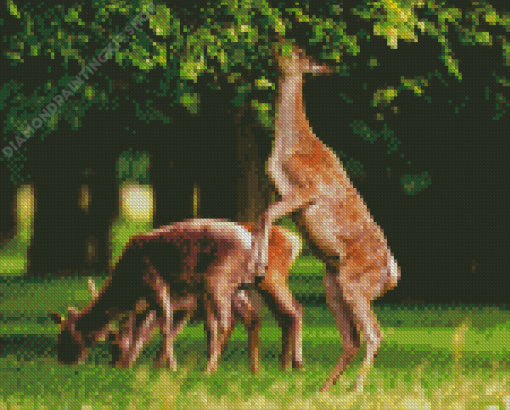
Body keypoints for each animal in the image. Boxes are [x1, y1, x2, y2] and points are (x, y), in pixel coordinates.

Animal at [50, 219, 302, 374]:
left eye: (65, 337)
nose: (63, 361)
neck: (129, 285)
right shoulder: (146, 304)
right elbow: (139, 333)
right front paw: (129, 366)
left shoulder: (157, 284)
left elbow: (165, 327)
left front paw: (170, 367)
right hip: (238, 287)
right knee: (253, 318)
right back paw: (255, 369)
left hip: (218, 278)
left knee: (229, 321)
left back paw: (211, 368)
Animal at [249, 40, 400, 390]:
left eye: (297, 51)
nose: (275, 41)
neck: (288, 147)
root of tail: (392, 275)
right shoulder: (279, 190)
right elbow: (264, 214)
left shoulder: (307, 188)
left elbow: (265, 214)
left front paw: (259, 266)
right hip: (332, 282)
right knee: (351, 339)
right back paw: (325, 387)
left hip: (356, 282)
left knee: (373, 333)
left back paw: (356, 387)